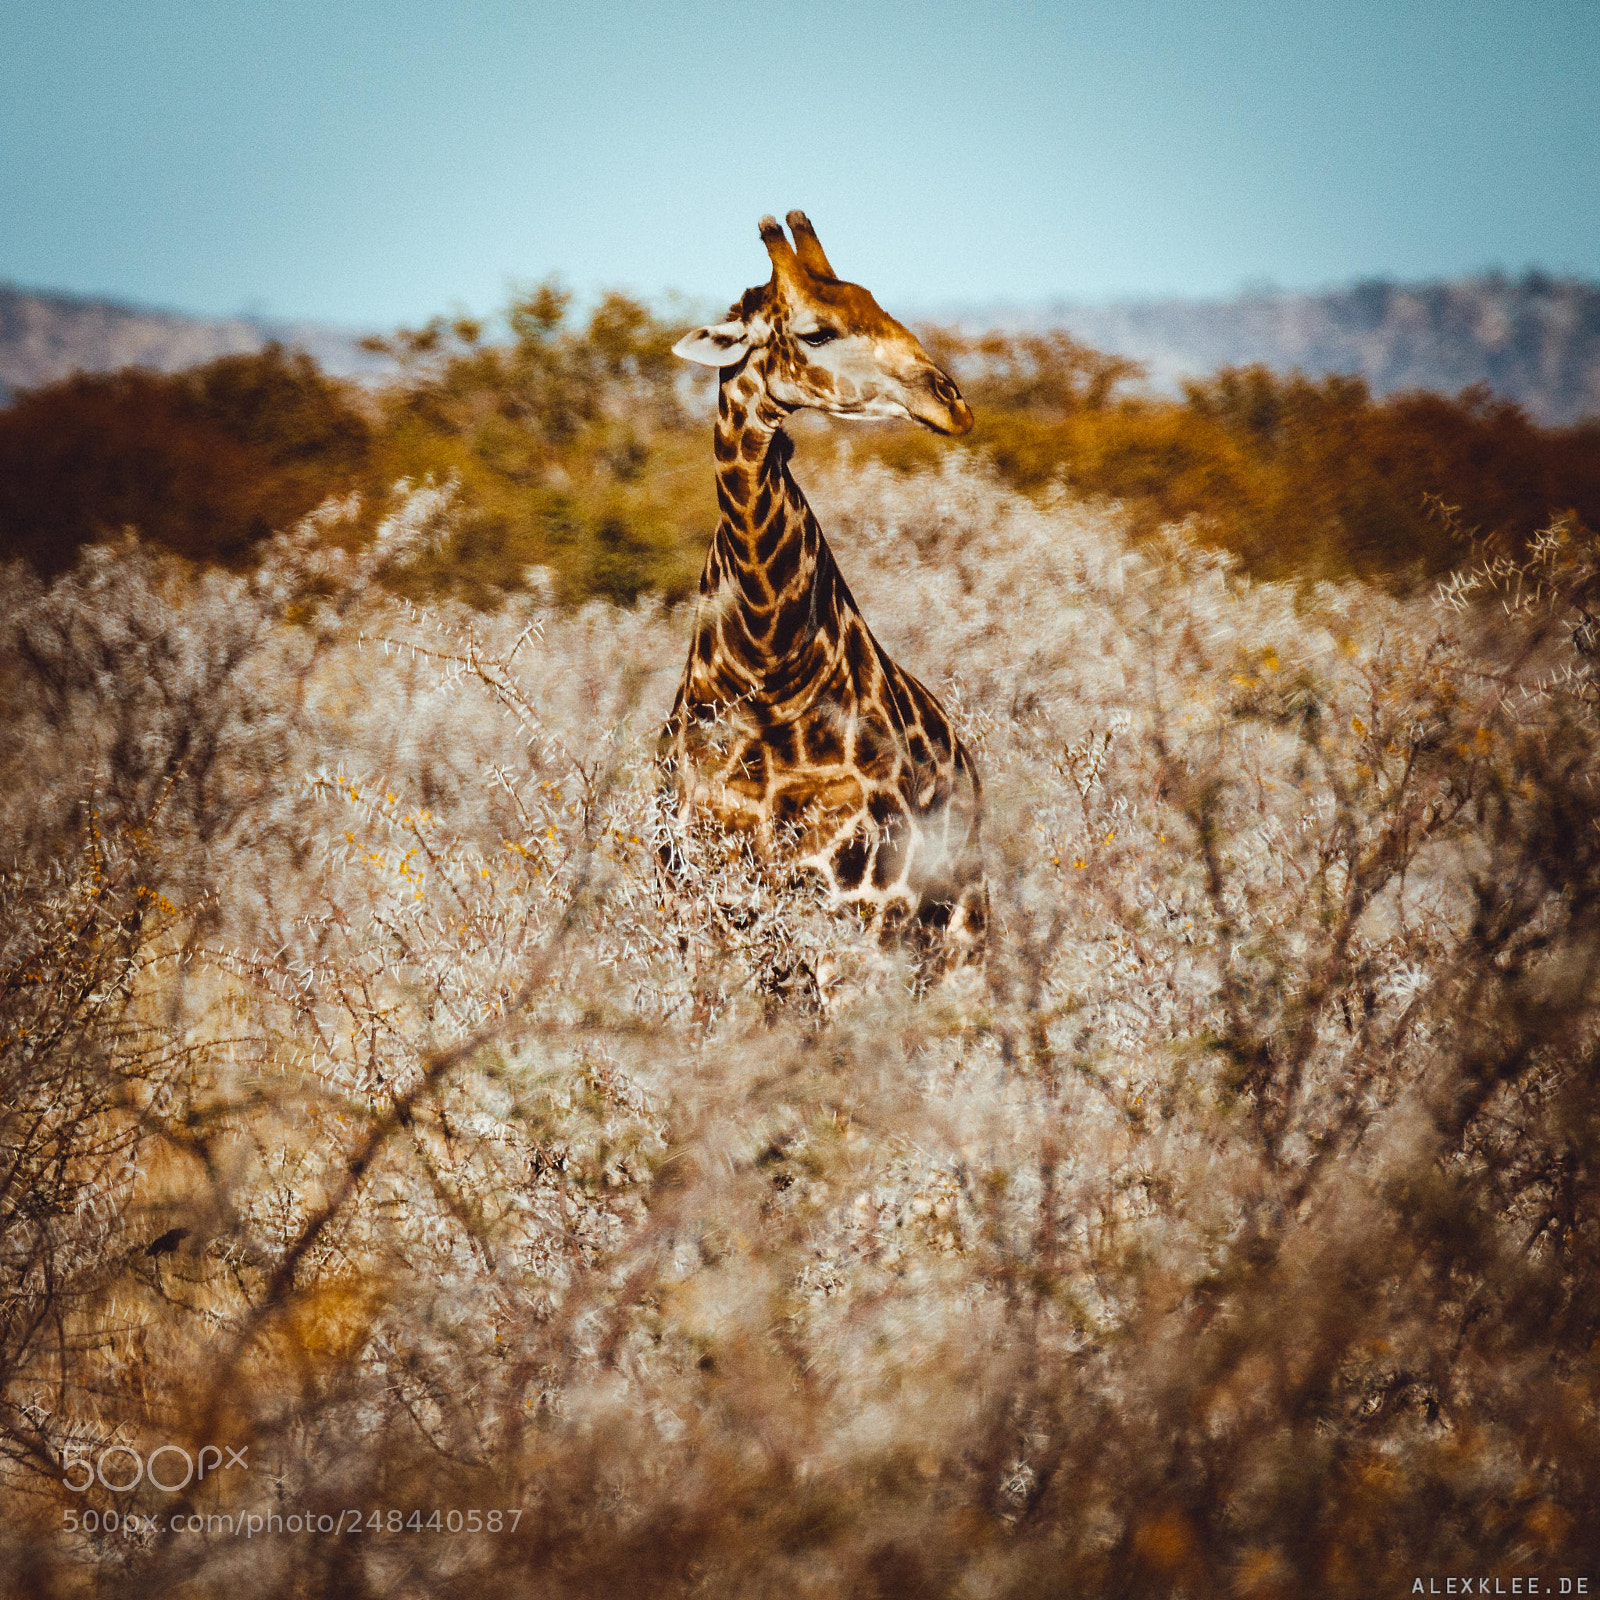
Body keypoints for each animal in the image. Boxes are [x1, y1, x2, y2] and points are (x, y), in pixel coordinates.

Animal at [661, 210, 987, 972]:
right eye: (816, 332)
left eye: (878, 303)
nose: (951, 402)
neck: (767, 665)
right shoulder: (700, 914)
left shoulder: (856, 915)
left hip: (960, 930)